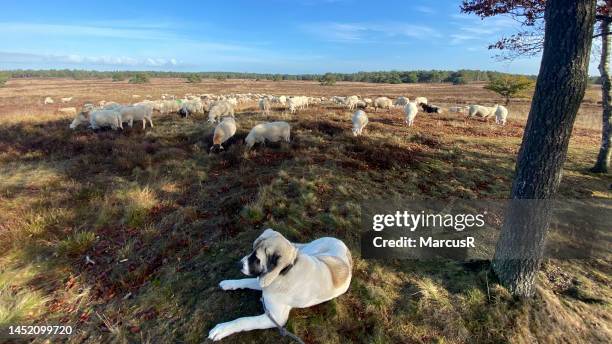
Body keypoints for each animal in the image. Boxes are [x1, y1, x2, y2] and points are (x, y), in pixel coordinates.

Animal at [209, 228, 354, 342]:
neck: (284, 272)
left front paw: (221, 329)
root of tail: (342, 243)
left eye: (257, 259)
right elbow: (246, 281)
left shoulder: (276, 317)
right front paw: (228, 283)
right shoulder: (266, 281)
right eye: (251, 250)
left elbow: (244, 320)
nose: (238, 264)